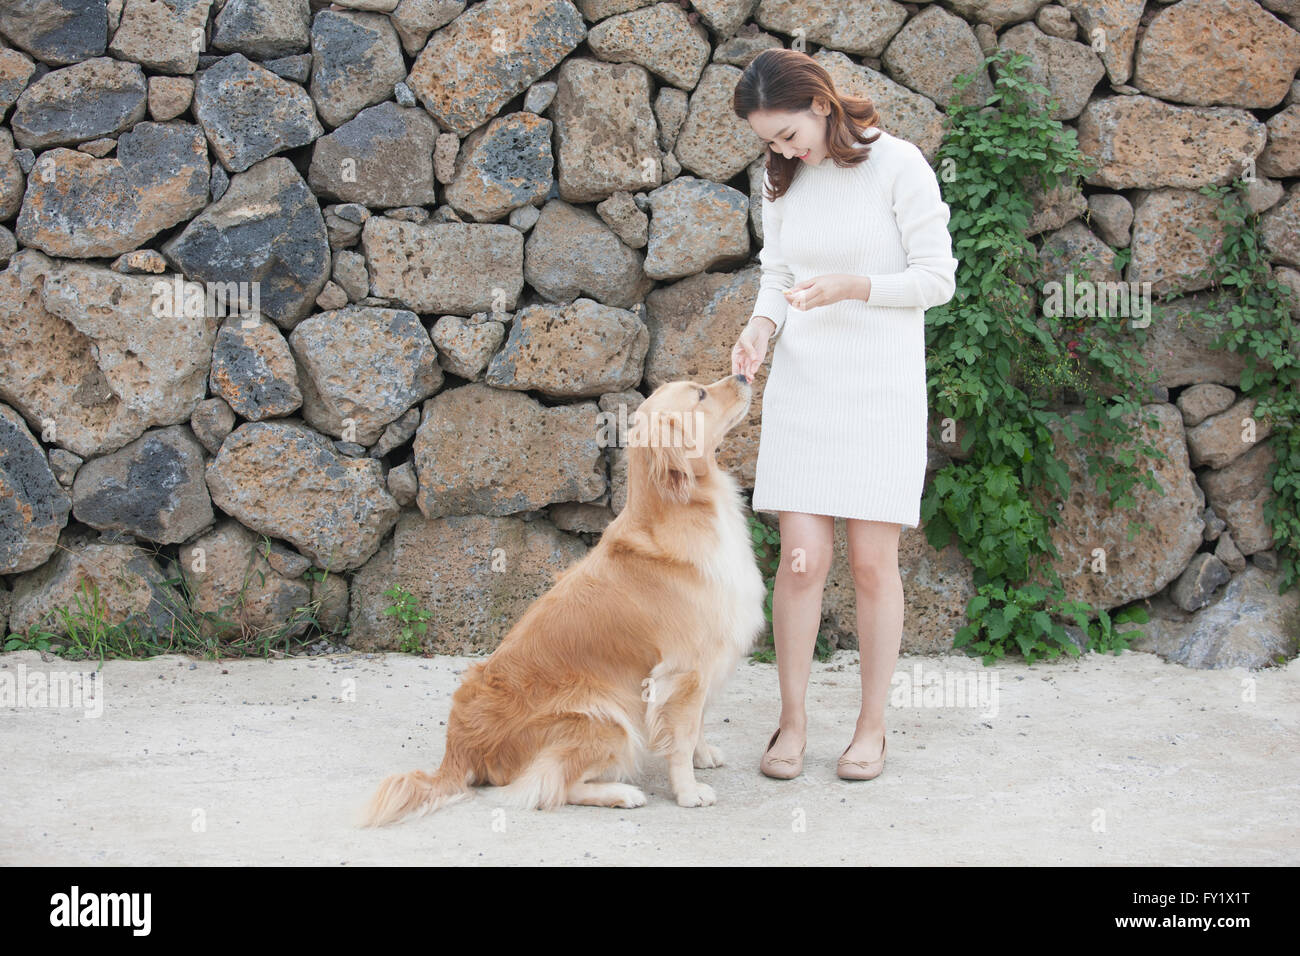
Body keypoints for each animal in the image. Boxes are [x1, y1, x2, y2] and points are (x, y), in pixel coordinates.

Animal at [361, 369, 764, 827]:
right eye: (699, 395)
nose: (744, 374)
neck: (685, 510)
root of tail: (460, 748)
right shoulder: (682, 671)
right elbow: (680, 735)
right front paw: (688, 790)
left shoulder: (705, 665)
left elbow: (696, 725)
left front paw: (702, 754)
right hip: (608, 717)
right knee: (548, 786)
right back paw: (621, 793)